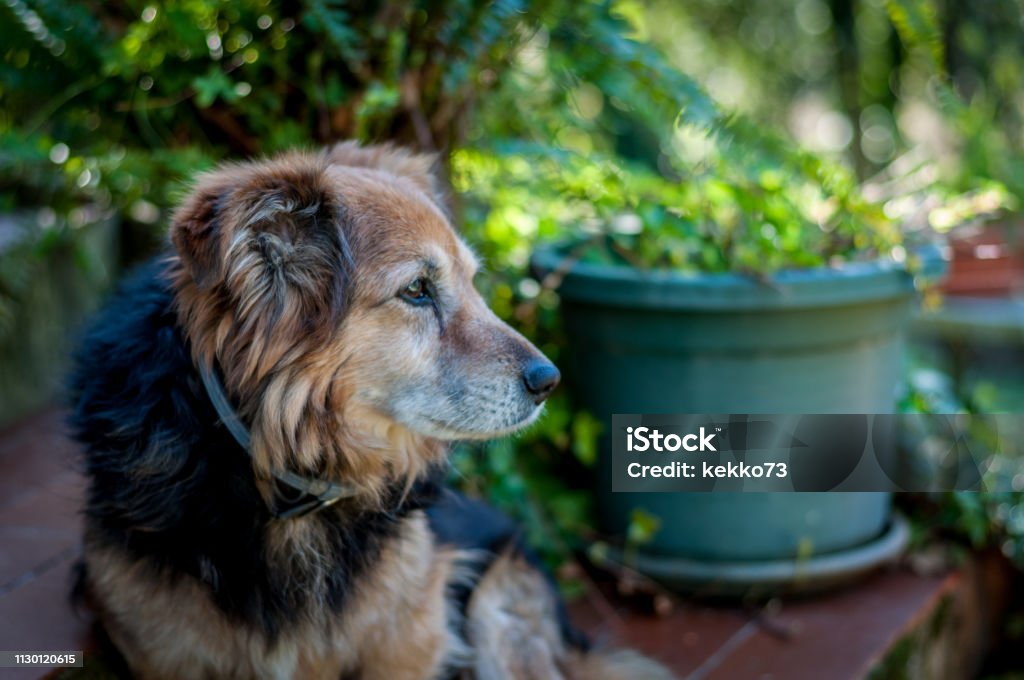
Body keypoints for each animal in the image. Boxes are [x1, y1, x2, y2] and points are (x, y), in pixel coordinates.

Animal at [66, 143, 671, 680]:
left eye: (473, 282)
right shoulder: (161, 651)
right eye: (418, 289)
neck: (283, 479)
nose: (549, 381)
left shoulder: (411, 637)